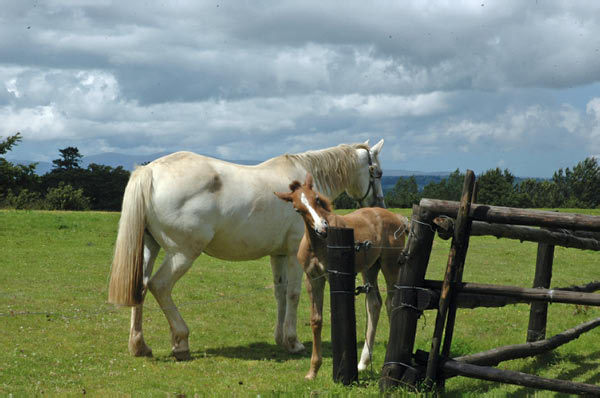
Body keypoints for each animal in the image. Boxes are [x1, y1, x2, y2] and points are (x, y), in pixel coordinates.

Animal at [109, 140, 384, 360]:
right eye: (378, 173)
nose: (379, 204)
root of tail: (150, 171)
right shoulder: (294, 254)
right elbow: (293, 294)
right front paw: (293, 342)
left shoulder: (278, 254)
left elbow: (280, 293)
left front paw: (280, 338)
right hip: (183, 254)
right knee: (160, 286)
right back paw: (181, 341)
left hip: (149, 247)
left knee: (141, 286)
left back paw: (139, 346)